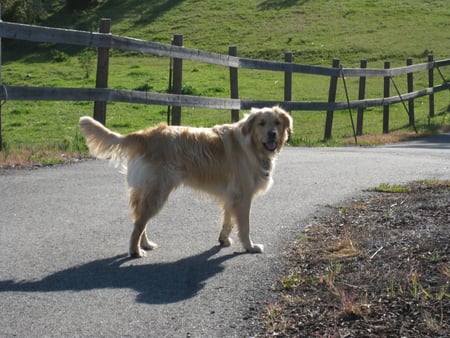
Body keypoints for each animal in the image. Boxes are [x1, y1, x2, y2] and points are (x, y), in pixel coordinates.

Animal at [79, 107, 292, 258]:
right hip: (158, 192)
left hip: (149, 192)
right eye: (261, 123)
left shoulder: (230, 197)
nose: (272, 134)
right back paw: (135, 251)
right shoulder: (242, 197)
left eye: (277, 122)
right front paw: (250, 246)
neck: (252, 145)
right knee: (139, 223)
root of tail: (146, 135)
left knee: (139, 220)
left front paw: (223, 240)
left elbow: (228, 222)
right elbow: (244, 226)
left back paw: (145, 244)